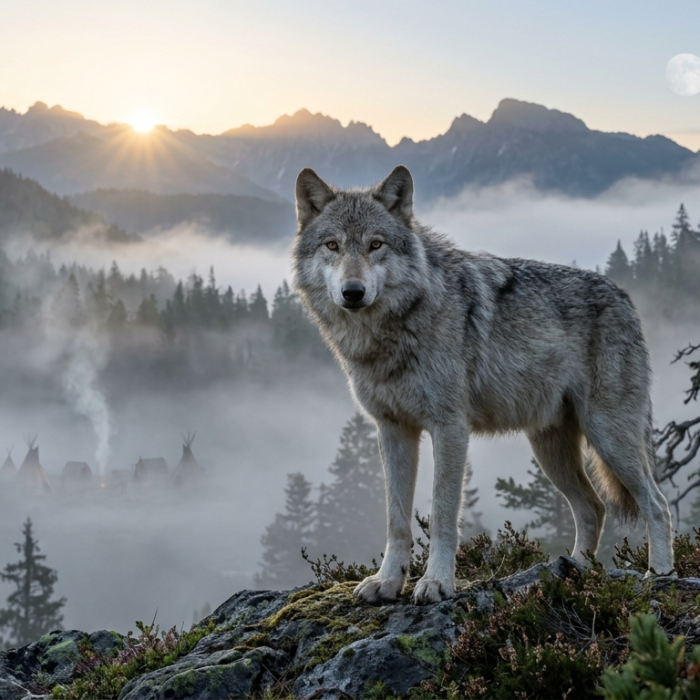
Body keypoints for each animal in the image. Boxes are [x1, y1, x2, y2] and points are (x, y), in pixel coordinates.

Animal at [291, 165, 675, 605]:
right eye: (333, 245)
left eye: (375, 245)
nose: (352, 292)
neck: (392, 332)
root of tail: (625, 298)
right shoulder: (392, 430)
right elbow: (396, 519)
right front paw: (387, 582)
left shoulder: (449, 428)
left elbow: (442, 513)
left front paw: (436, 583)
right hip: (551, 451)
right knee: (593, 507)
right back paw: (577, 571)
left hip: (608, 437)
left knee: (656, 502)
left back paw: (659, 574)